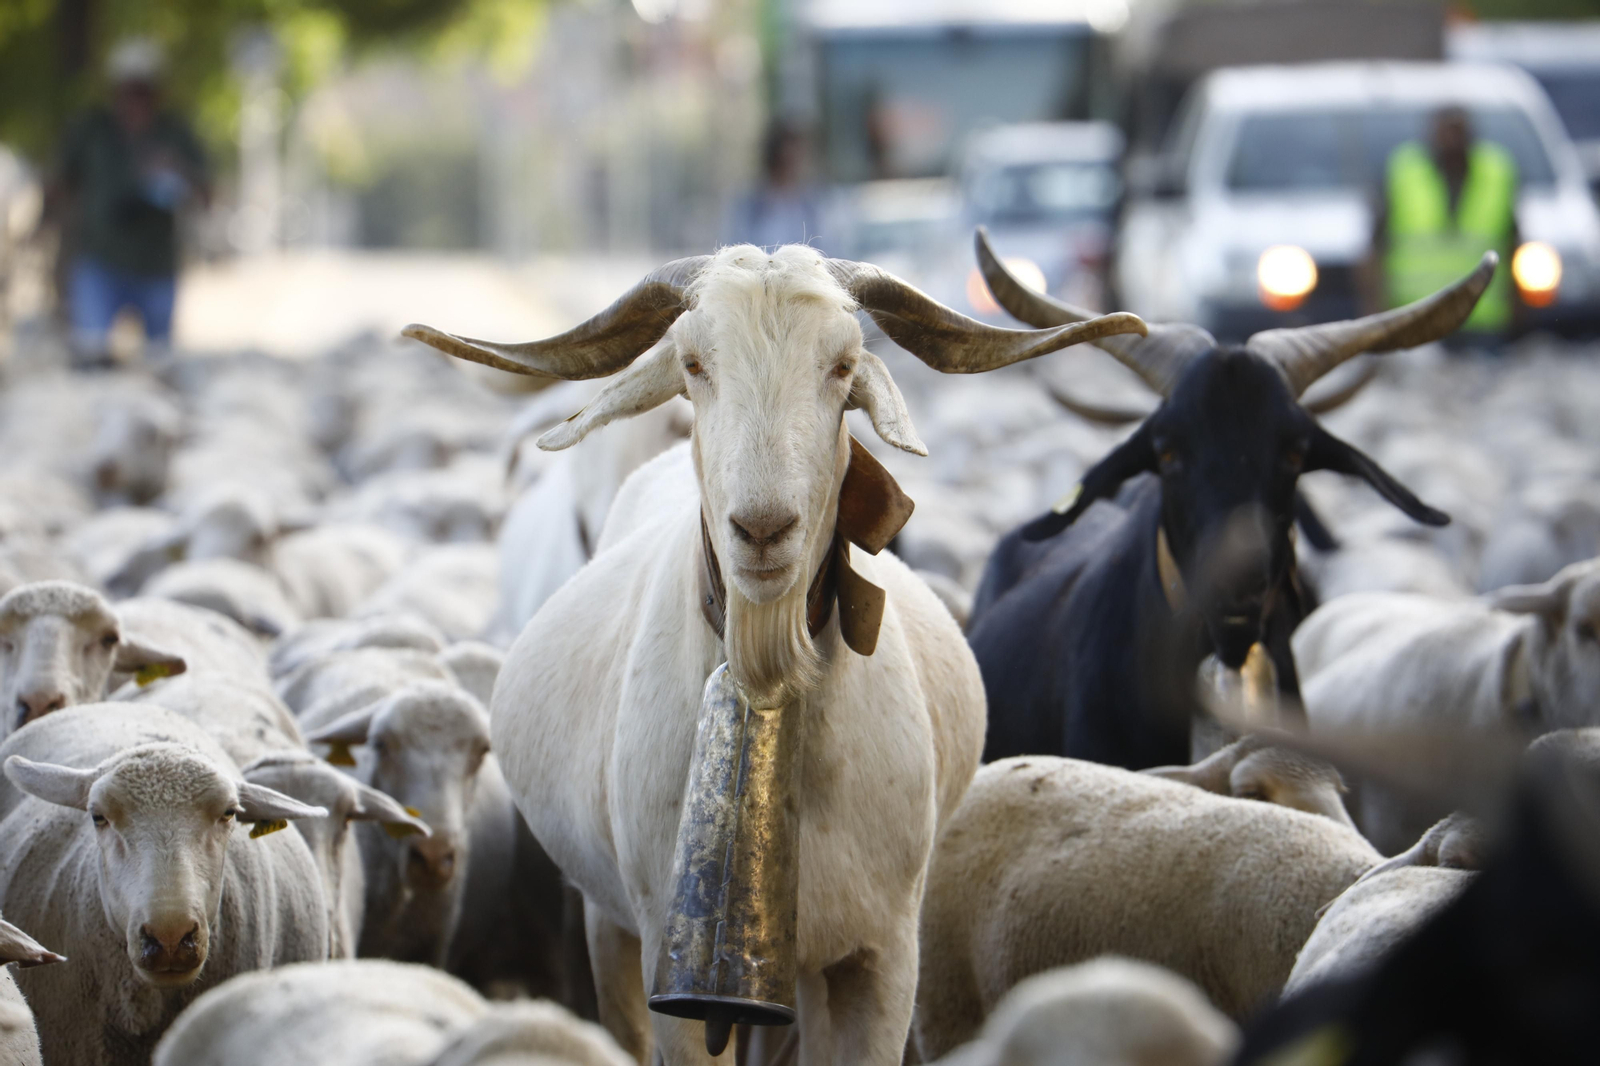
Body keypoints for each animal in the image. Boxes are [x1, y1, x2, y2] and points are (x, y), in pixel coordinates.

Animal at [402, 242, 1144, 1062]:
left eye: (843, 365)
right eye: (694, 363)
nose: (762, 529)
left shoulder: (881, 957)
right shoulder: (674, 958)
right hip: (612, 927)